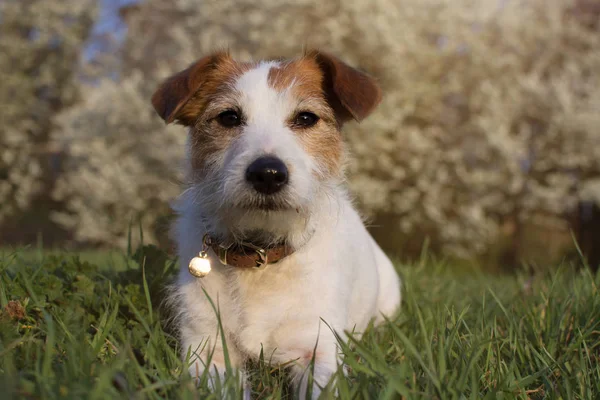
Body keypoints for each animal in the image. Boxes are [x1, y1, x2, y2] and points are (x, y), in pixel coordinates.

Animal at [152, 49, 400, 396]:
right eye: (229, 117)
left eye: (306, 118)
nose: (267, 173)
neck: (260, 255)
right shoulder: (206, 348)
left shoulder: (318, 347)